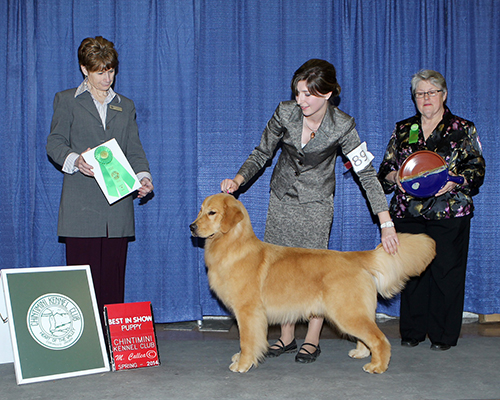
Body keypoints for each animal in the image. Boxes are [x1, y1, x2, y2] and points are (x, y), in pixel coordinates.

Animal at [189, 194, 436, 376]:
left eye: (212, 212)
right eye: (200, 210)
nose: (191, 227)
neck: (233, 245)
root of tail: (353, 257)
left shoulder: (248, 312)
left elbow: (247, 341)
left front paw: (242, 364)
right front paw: (242, 359)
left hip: (346, 312)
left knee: (379, 339)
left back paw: (378, 366)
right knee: (368, 337)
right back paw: (361, 353)